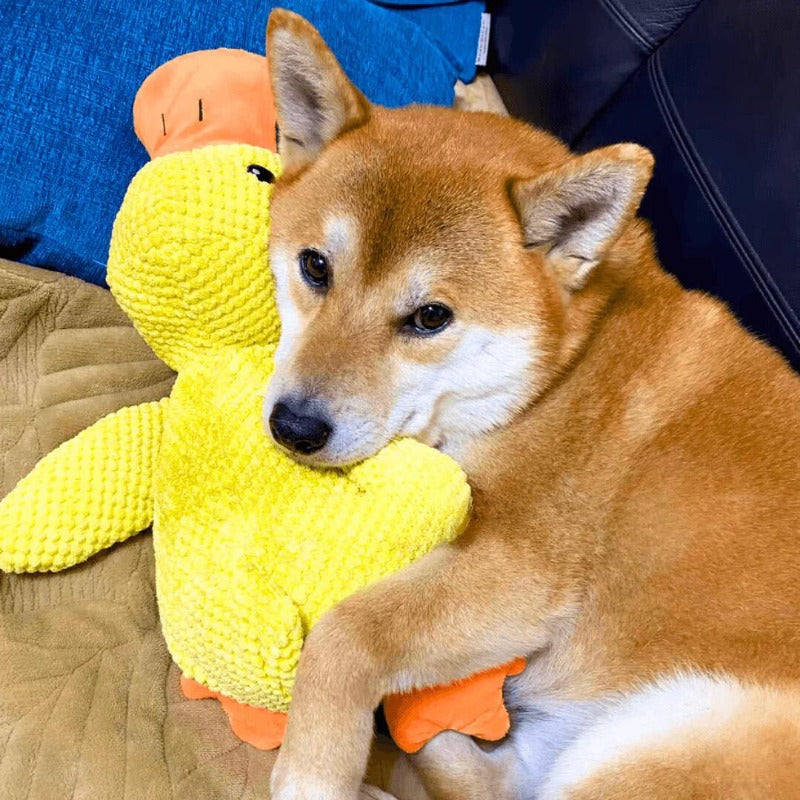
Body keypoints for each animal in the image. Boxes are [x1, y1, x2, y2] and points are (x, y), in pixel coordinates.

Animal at [262, 7, 800, 800]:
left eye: (430, 317)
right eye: (315, 267)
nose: (293, 427)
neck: (564, 372)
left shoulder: (523, 567)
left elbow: (345, 635)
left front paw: (313, 774)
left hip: (674, 731)